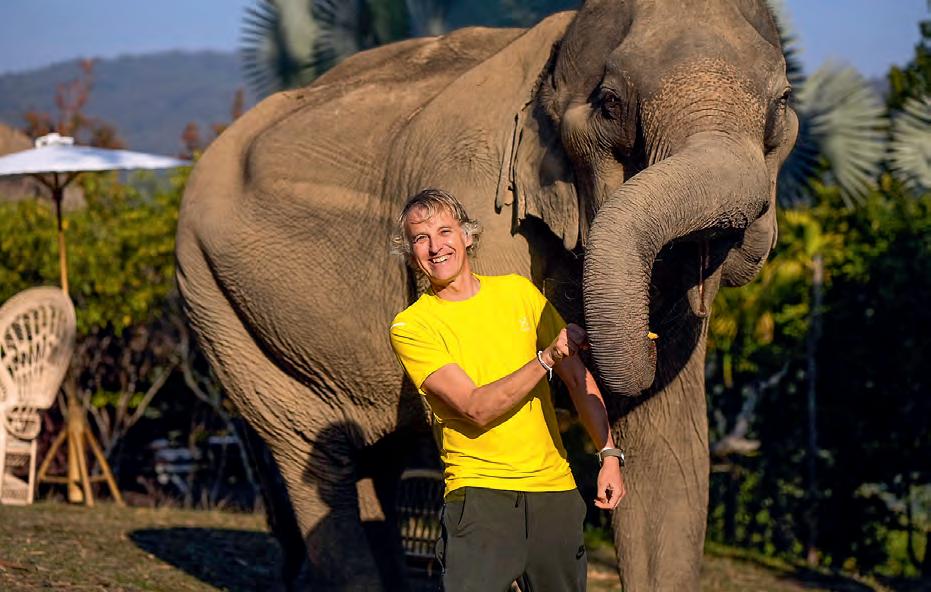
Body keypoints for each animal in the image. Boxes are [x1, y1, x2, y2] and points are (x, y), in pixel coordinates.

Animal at [175, 0, 798, 589]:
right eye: (610, 104)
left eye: (783, 103)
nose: (599, 335)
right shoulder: (480, 189)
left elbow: (668, 446)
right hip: (211, 297)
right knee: (312, 452)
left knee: (376, 452)